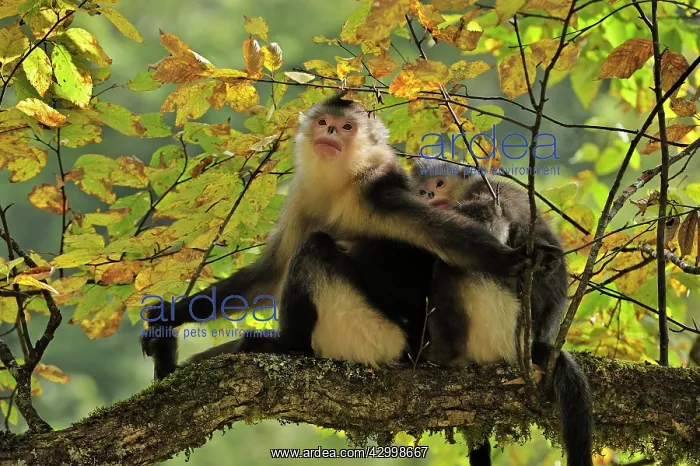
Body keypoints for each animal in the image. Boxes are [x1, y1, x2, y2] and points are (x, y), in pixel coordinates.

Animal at [140, 92, 533, 380]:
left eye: (346, 127)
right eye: (323, 123)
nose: (329, 134)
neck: (340, 184)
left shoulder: (376, 192)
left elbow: (450, 238)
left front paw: (510, 260)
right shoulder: (303, 195)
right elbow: (270, 274)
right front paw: (167, 317)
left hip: (371, 334)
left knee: (314, 248)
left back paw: (288, 345)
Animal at [410, 157, 593, 466]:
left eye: (440, 183)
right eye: (423, 191)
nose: (430, 196)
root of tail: (534, 338)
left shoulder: (487, 196)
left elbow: (491, 229)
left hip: (502, 311)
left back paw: (440, 355)